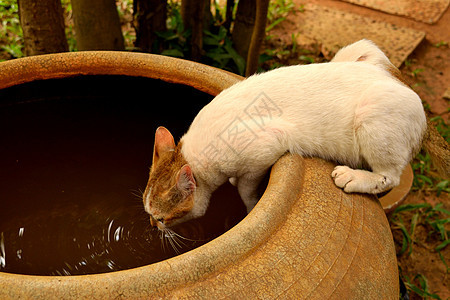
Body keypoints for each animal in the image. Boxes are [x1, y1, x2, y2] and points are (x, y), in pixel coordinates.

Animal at [143, 39, 428, 227]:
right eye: (149, 216)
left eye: (161, 218)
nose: (154, 227)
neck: (191, 157)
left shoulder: (265, 146)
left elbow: (246, 189)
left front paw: (249, 206)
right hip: (356, 50)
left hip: (373, 115)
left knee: (390, 176)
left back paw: (353, 177)